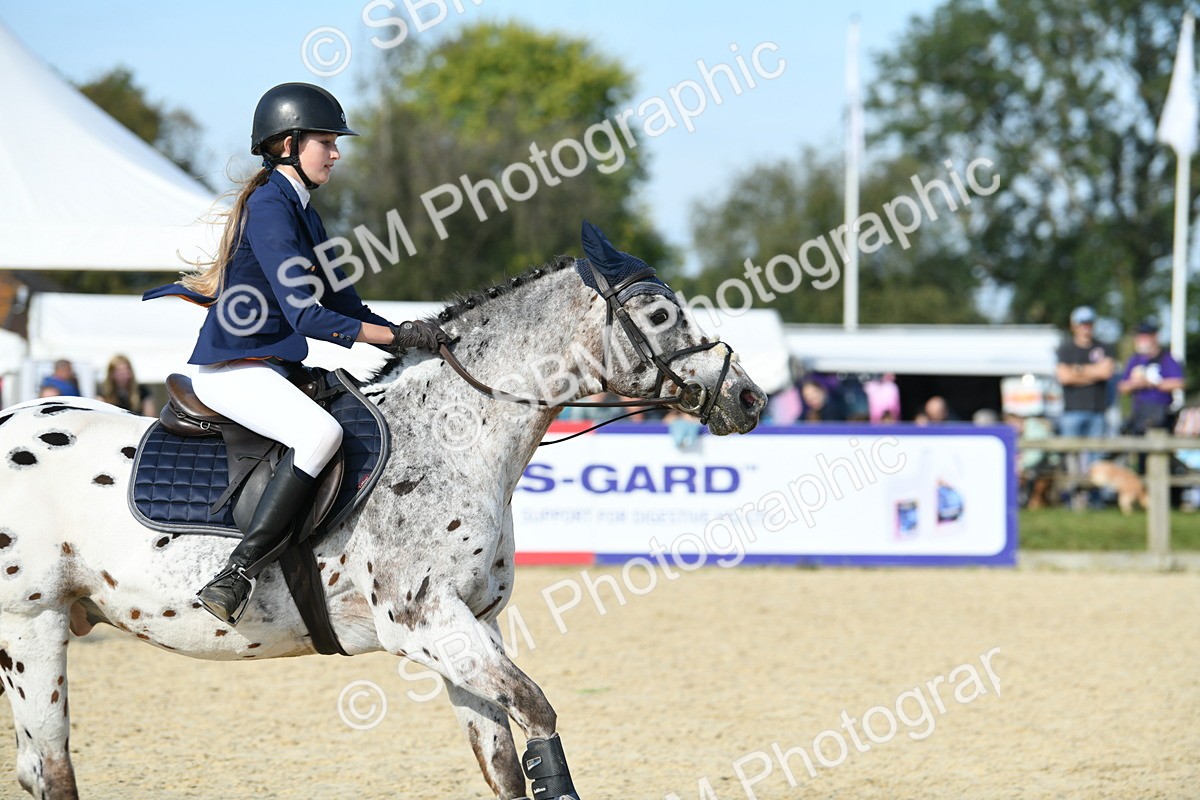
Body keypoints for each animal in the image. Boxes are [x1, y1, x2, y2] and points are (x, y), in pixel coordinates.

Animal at [0, 228, 765, 799]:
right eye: (662, 315)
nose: (750, 398)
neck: (454, 436)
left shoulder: (470, 625)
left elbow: (504, 764)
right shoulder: (422, 624)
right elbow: (538, 711)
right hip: (31, 628)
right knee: (50, 769)